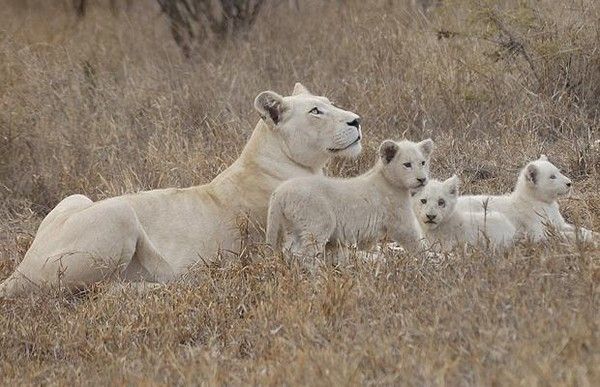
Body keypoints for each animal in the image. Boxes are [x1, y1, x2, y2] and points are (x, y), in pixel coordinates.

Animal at [0, 84, 360, 298]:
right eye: (316, 111)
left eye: (329, 103)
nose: (357, 120)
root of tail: (19, 270)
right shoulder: (296, 251)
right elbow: (360, 255)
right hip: (119, 213)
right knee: (98, 292)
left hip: (76, 198)